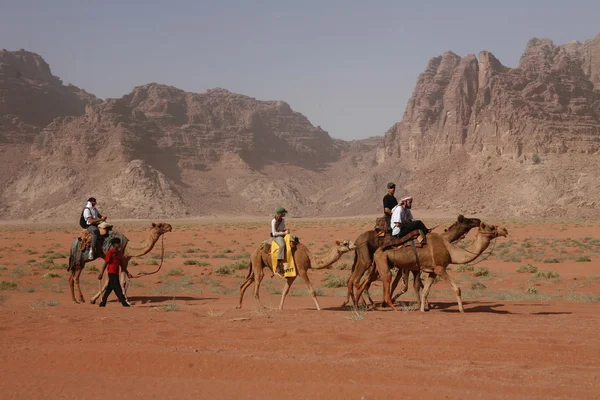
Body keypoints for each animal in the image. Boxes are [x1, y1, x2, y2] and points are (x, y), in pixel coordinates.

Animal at [342, 216, 482, 306]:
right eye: (467, 220)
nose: (478, 220)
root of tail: (357, 241)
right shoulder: (408, 266)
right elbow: (406, 286)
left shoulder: (411, 266)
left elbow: (414, 284)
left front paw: (425, 304)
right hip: (366, 259)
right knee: (356, 280)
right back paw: (361, 303)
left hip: (363, 259)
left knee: (355, 279)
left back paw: (355, 302)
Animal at [356, 222, 506, 312]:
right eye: (491, 227)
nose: (505, 230)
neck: (450, 250)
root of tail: (377, 250)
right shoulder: (440, 268)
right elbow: (456, 288)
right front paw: (462, 309)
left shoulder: (432, 271)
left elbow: (425, 290)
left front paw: (423, 309)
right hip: (383, 264)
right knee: (382, 281)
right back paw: (390, 307)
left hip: (378, 265)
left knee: (363, 283)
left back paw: (359, 305)